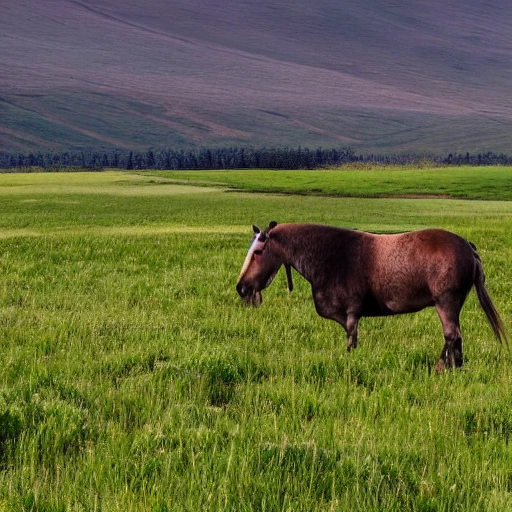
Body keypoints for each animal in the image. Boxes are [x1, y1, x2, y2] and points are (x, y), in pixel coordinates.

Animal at [237, 220, 508, 372]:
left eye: (258, 251)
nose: (241, 287)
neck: (330, 256)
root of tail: (468, 247)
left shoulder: (350, 314)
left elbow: (351, 341)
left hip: (446, 303)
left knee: (452, 336)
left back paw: (444, 368)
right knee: (454, 338)